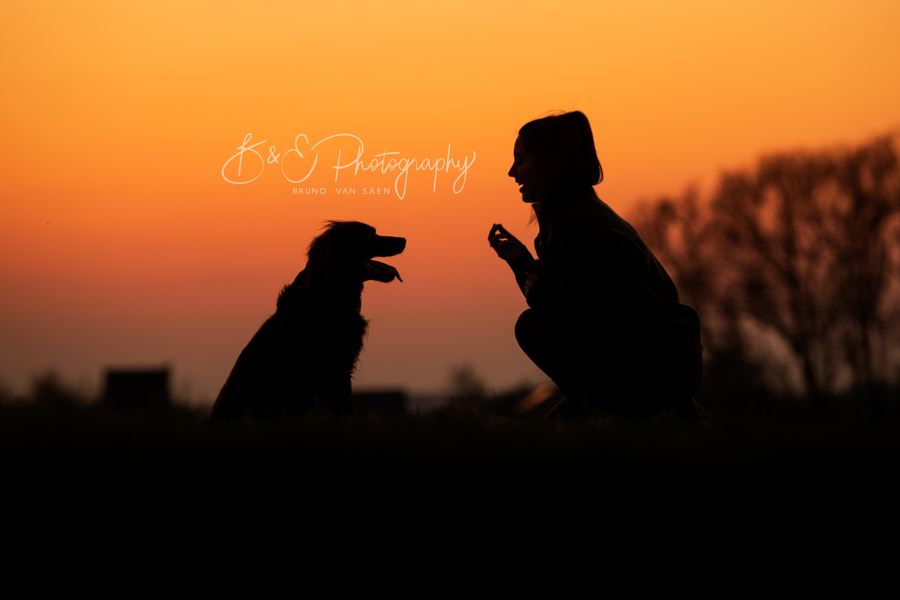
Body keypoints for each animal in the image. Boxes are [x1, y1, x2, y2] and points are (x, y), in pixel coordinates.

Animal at [209, 220, 406, 422]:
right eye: (367, 235)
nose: (403, 240)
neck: (330, 299)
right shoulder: (295, 372)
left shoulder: (341, 367)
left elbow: (345, 406)